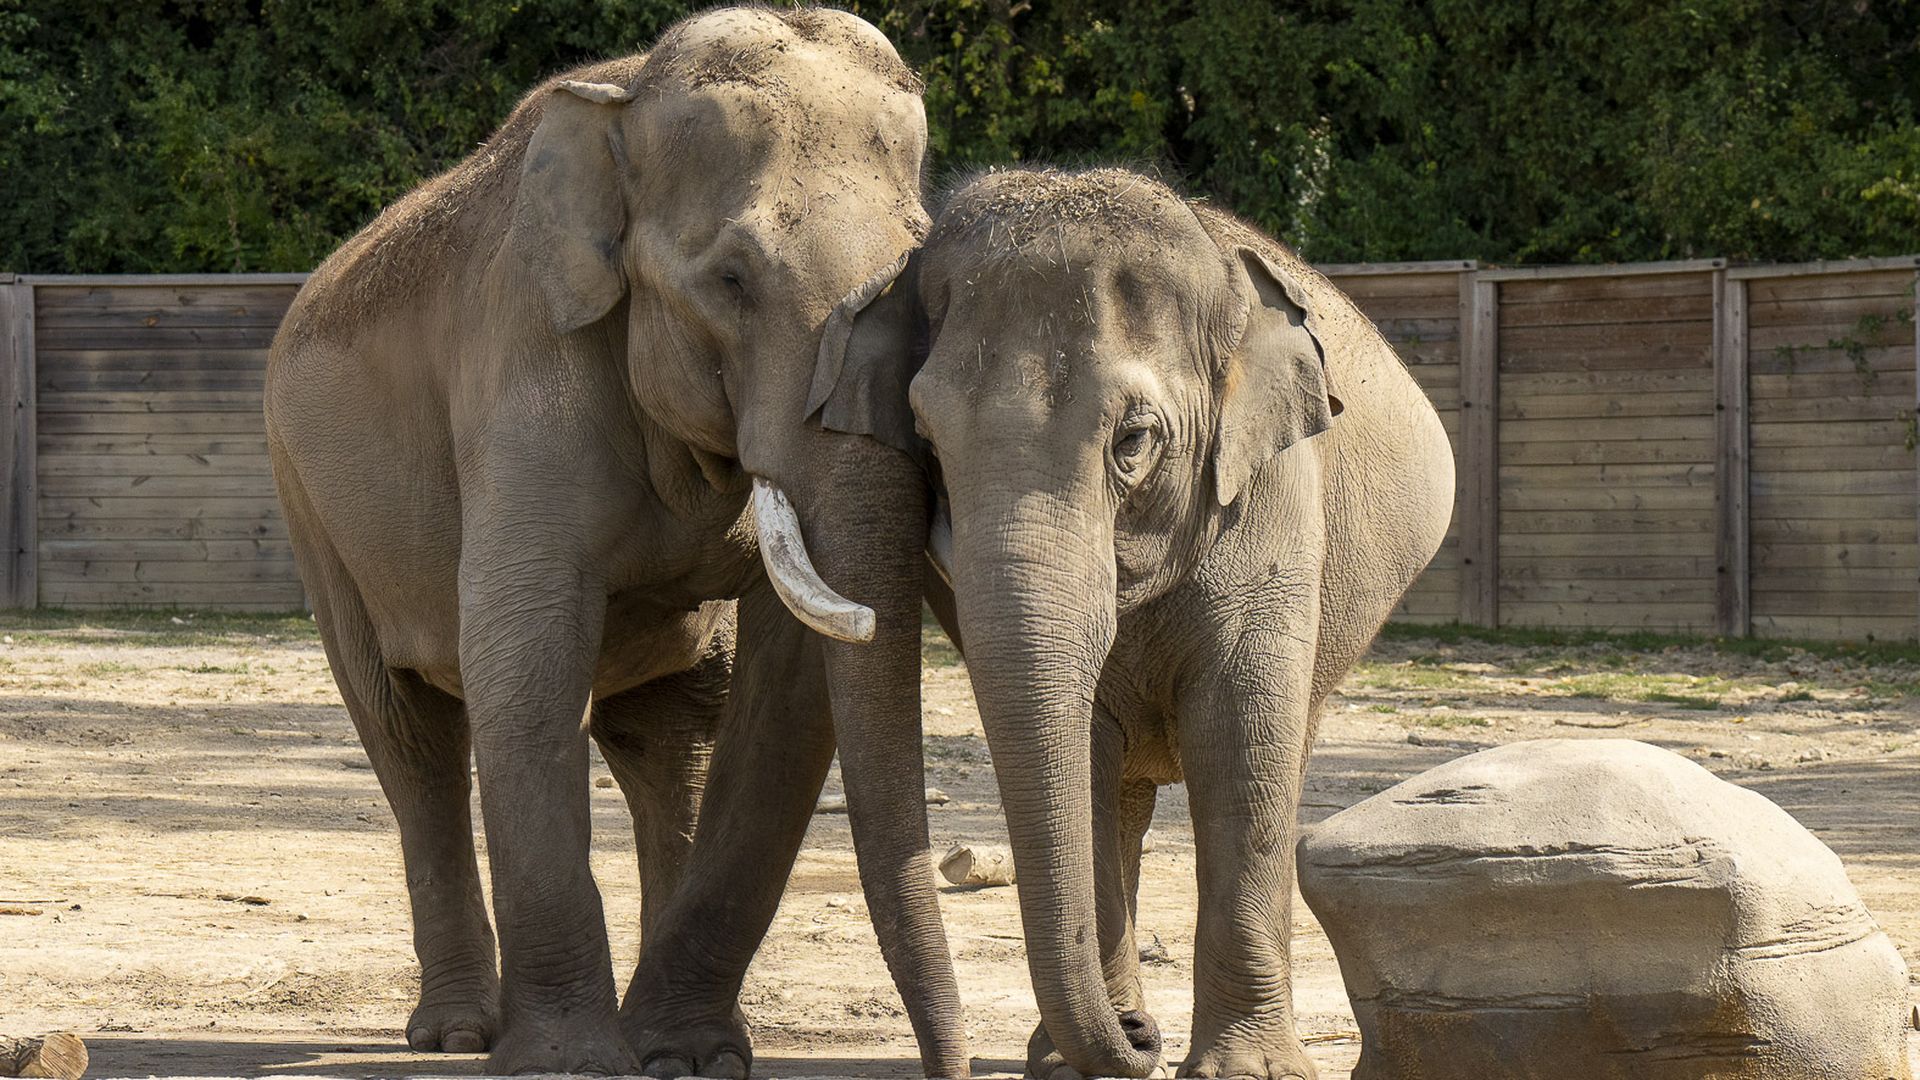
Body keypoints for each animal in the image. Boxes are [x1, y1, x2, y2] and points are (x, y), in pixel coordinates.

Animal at [264, 8, 965, 1076]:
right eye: (732, 281)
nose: (951, 1064)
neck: (626, 105)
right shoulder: (526, 369)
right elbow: (527, 658)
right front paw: (568, 1063)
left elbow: (788, 686)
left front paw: (690, 1058)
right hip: (312, 514)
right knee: (410, 733)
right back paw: (459, 1034)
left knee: (673, 734)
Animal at [830, 167, 1454, 1080]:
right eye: (930, 448)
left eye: (1133, 440)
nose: (1139, 1038)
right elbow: (1080, 755)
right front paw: (1073, 1062)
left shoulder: (1272, 496)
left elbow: (1242, 744)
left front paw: (1247, 1072)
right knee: (1122, 792)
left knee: (1283, 757)